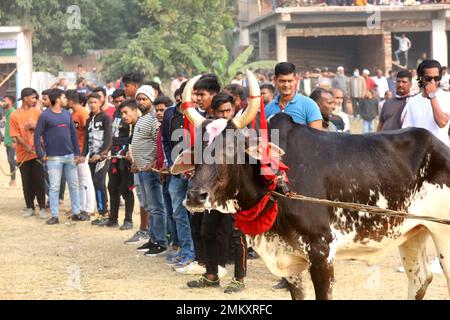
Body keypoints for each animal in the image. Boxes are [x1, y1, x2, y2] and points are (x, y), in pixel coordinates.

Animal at [174, 70, 450, 300]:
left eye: (230, 149)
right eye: (195, 151)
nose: (195, 196)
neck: (275, 185)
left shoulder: (321, 253)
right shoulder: (290, 262)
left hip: (442, 233)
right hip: (413, 232)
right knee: (419, 279)